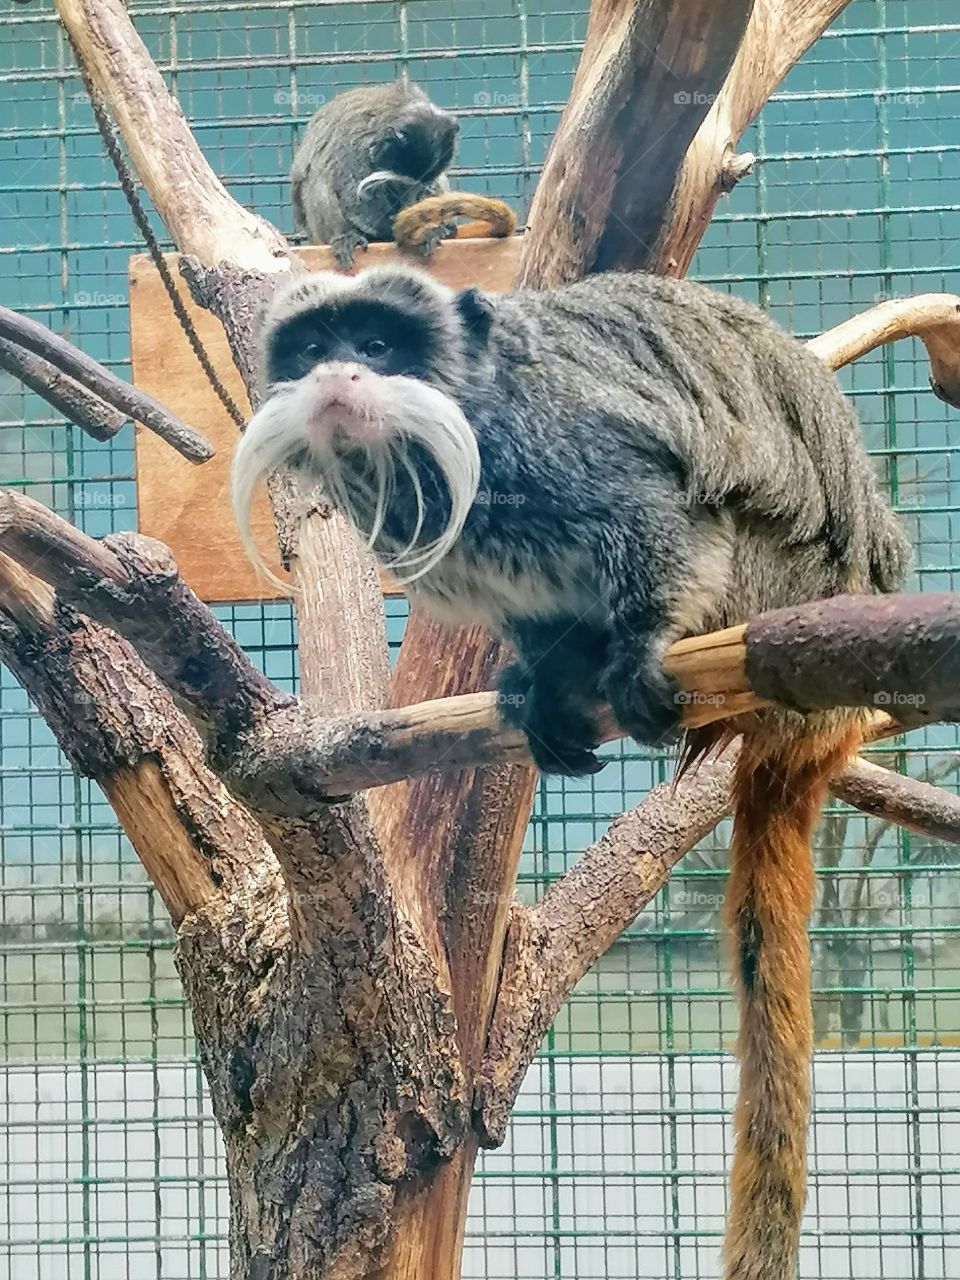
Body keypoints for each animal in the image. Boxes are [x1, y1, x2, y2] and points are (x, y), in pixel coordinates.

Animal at [231, 264, 911, 1280]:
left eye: (380, 347)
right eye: (314, 349)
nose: (339, 377)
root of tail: (819, 723)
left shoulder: (555, 451)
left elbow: (659, 515)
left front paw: (638, 646)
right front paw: (539, 677)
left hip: (787, 590)